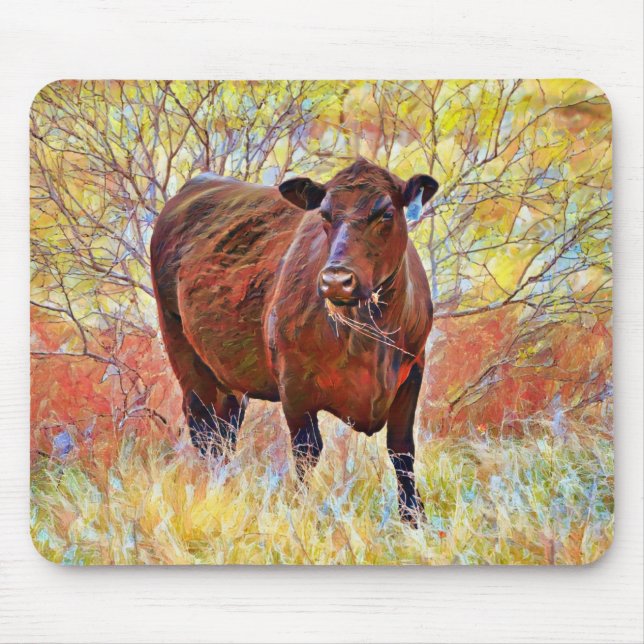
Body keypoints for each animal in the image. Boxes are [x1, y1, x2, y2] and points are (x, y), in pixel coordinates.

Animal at [150, 158, 438, 525]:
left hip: (227, 379)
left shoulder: (412, 373)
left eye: (386, 213)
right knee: (205, 430)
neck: (369, 336)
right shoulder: (295, 383)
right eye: (325, 214)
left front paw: (414, 518)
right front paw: (302, 513)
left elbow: (402, 450)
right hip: (183, 350)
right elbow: (307, 450)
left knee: (226, 428)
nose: (336, 280)